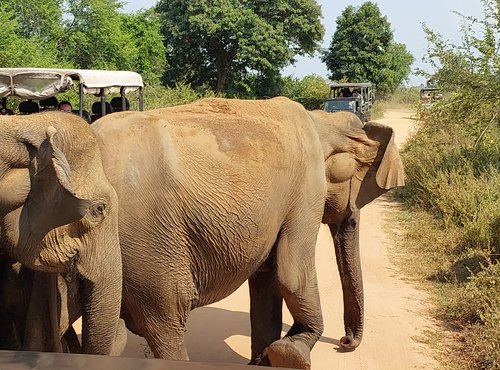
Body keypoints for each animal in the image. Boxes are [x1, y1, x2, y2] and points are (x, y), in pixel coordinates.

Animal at [93, 97, 328, 368]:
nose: (346, 343)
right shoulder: (307, 185)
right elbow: (292, 275)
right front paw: (289, 354)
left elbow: (270, 278)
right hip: (147, 238)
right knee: (164, 319)